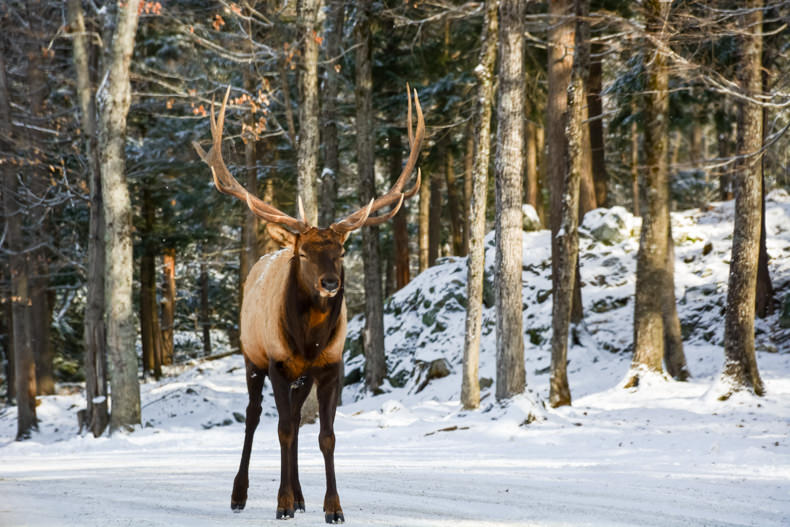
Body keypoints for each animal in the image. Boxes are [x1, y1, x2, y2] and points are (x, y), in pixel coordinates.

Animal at [193, 86, 424, 524]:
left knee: (298, 420)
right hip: (252, 357)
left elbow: (325, 435)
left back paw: (300, 497)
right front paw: (281, 503)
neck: (309, 338)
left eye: (340, 251)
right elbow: (281, 429)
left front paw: (332, 507)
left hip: (302, 378)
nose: (330, 282)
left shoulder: (332, 366)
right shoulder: (278, 363)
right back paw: (242, 494)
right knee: (255, 417)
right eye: (304, 254)